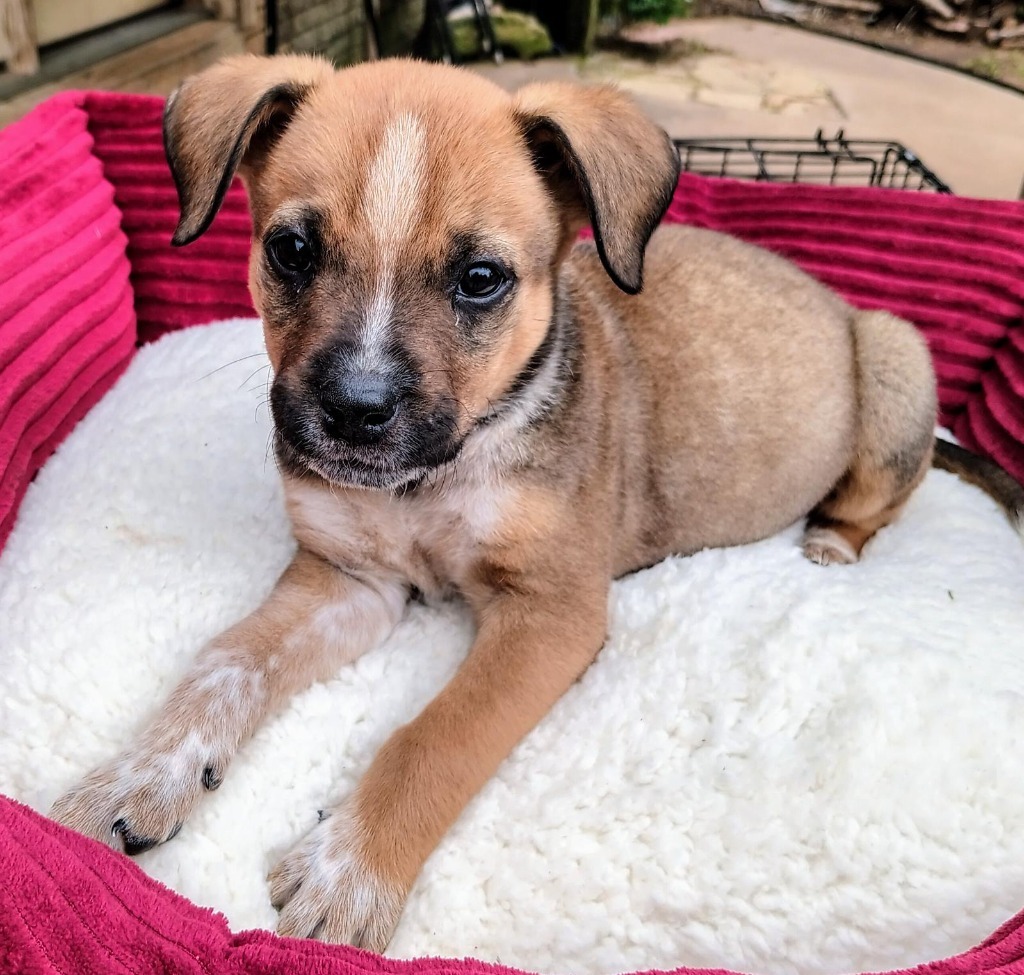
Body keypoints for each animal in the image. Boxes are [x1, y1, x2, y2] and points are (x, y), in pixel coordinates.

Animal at [46, 53, 1015, 950]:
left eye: (481, 277)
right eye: (291, 250)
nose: (354, 414)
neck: (434, 477)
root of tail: (840, 303)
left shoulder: (549, 613)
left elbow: (436, 735)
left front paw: (349, 869)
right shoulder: (347, 580)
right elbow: (227, 660)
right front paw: (142, 772)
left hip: (895, 359)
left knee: (877, 496)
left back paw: (831, 541)